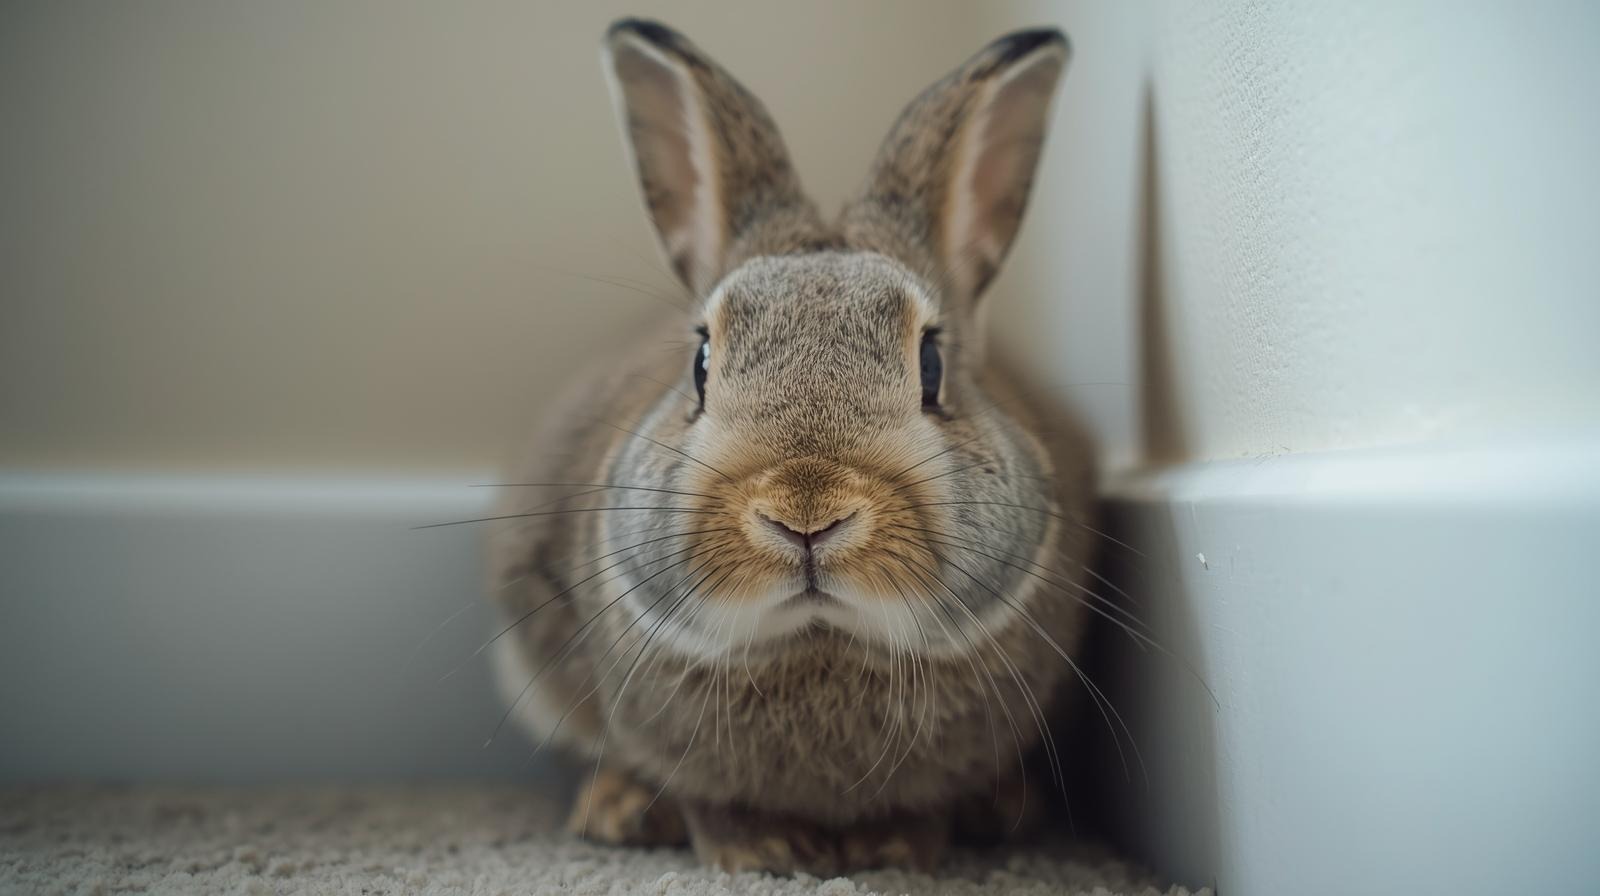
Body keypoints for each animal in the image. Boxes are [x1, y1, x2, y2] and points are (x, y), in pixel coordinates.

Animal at [487, 18, 1096, 875]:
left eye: (932, 366)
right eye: (701, 363)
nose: (806, 514)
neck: (818, 646)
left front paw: (889, 848)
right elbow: (709, 799)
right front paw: (763, 850)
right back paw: (618, 812)